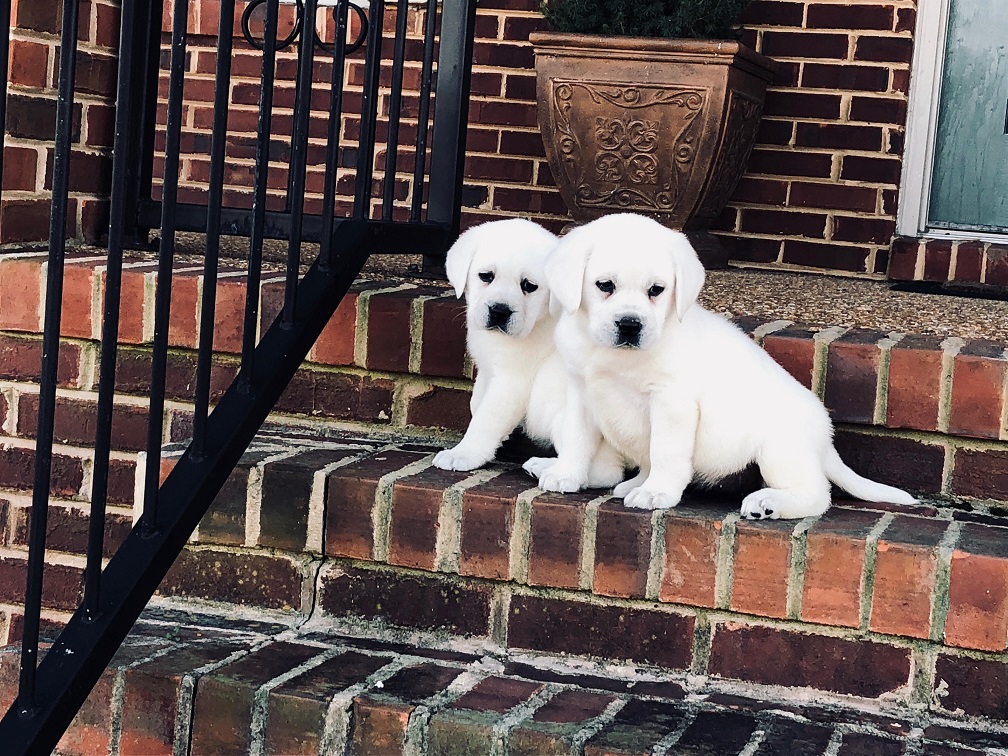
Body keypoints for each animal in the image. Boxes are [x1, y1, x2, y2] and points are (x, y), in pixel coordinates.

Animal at [433, 218, 620, 491]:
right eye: (486, 276)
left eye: (529, 286)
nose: (499, 311)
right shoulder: (488, 370)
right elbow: (477, 404)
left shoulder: (510, 381)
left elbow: (485, 419)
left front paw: (464, 453)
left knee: (606, 471)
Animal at [540, 213, 919, 520]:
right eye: (605, 285)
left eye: (656, 290)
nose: (631, 325)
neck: (613, 355)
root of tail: (825, 441)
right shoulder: (580, 394)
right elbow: (575, 438)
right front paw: (567, 474)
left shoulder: (671, 403)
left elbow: (665, 452)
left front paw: (657, 492)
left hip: (779, 449)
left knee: (817, 495)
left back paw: (769, 504)